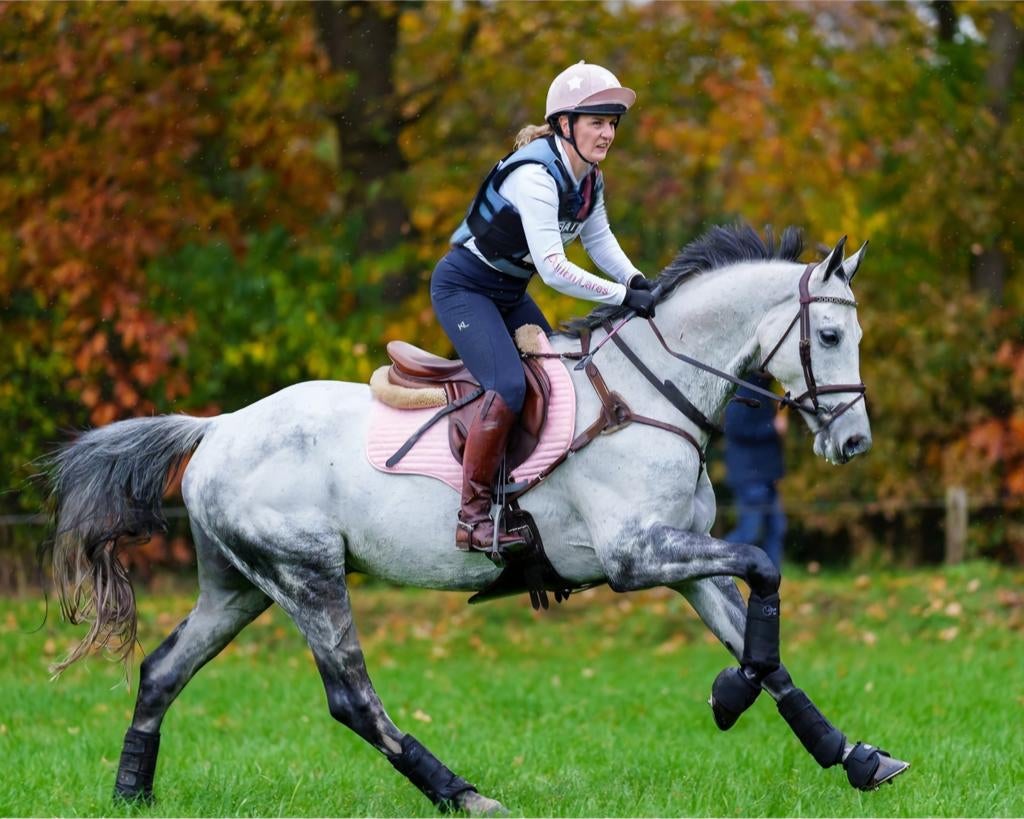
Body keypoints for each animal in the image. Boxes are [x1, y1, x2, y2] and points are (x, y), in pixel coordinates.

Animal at [44, 224, 909, 815]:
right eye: (831, 334)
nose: (855, 442)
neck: (654, 391)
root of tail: (217, 428)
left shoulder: (680, 560)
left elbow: (765, 643)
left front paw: (851, 754)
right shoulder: (636, 556)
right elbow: (764, 568)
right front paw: (730, 697)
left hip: (240, 585)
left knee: (163, 669)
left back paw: (131, 790)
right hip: (307, 575)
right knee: (352, 699)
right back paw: (463, 792)